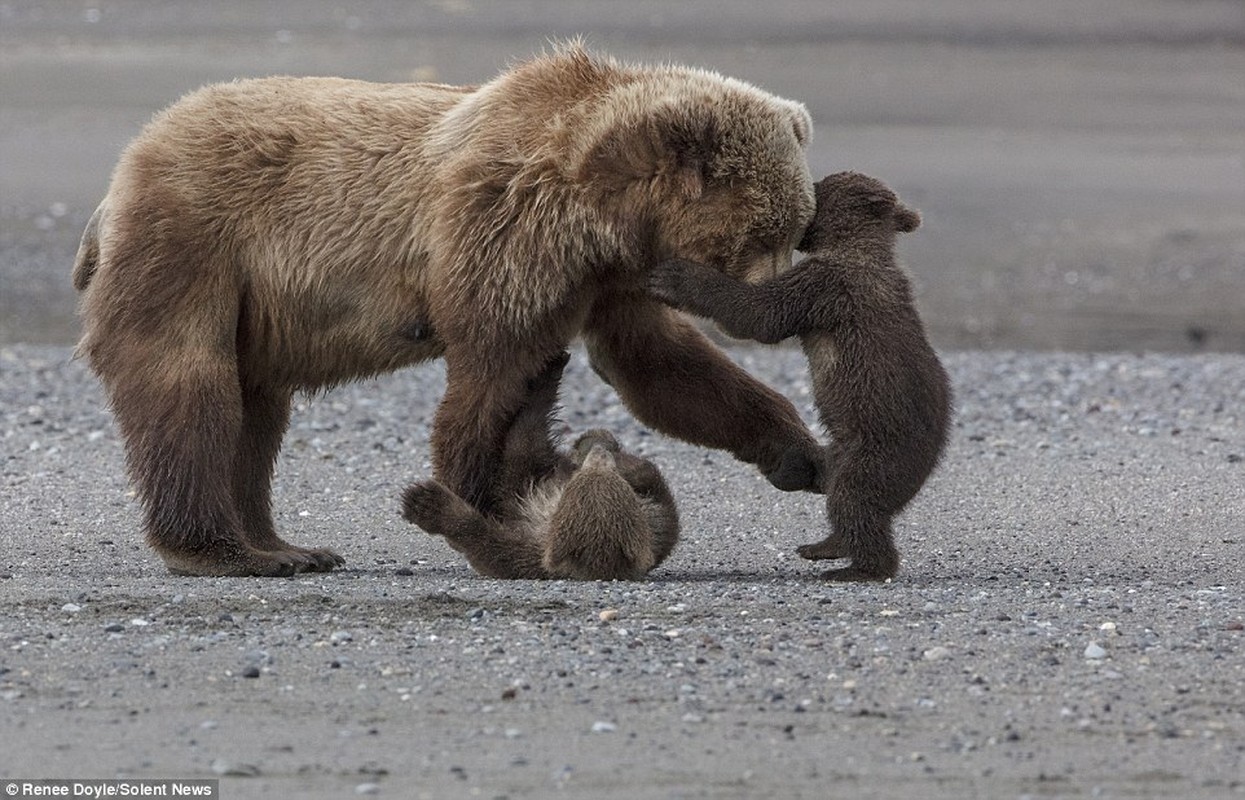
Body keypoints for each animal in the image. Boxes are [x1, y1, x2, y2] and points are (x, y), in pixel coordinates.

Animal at [72, 43, 821, 574]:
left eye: (793, 227)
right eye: (763, 234)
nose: (774, 308)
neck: (602, 207)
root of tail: (125, 165)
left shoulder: (608, 276)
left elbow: (657, 364)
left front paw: (802, 456)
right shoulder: (506, 227)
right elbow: (492, 370)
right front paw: (493, 501)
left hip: (246, 302)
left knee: (255, 413)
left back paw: (285, 547)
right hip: (194, 240)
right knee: (189, 385)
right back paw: (220, 550)